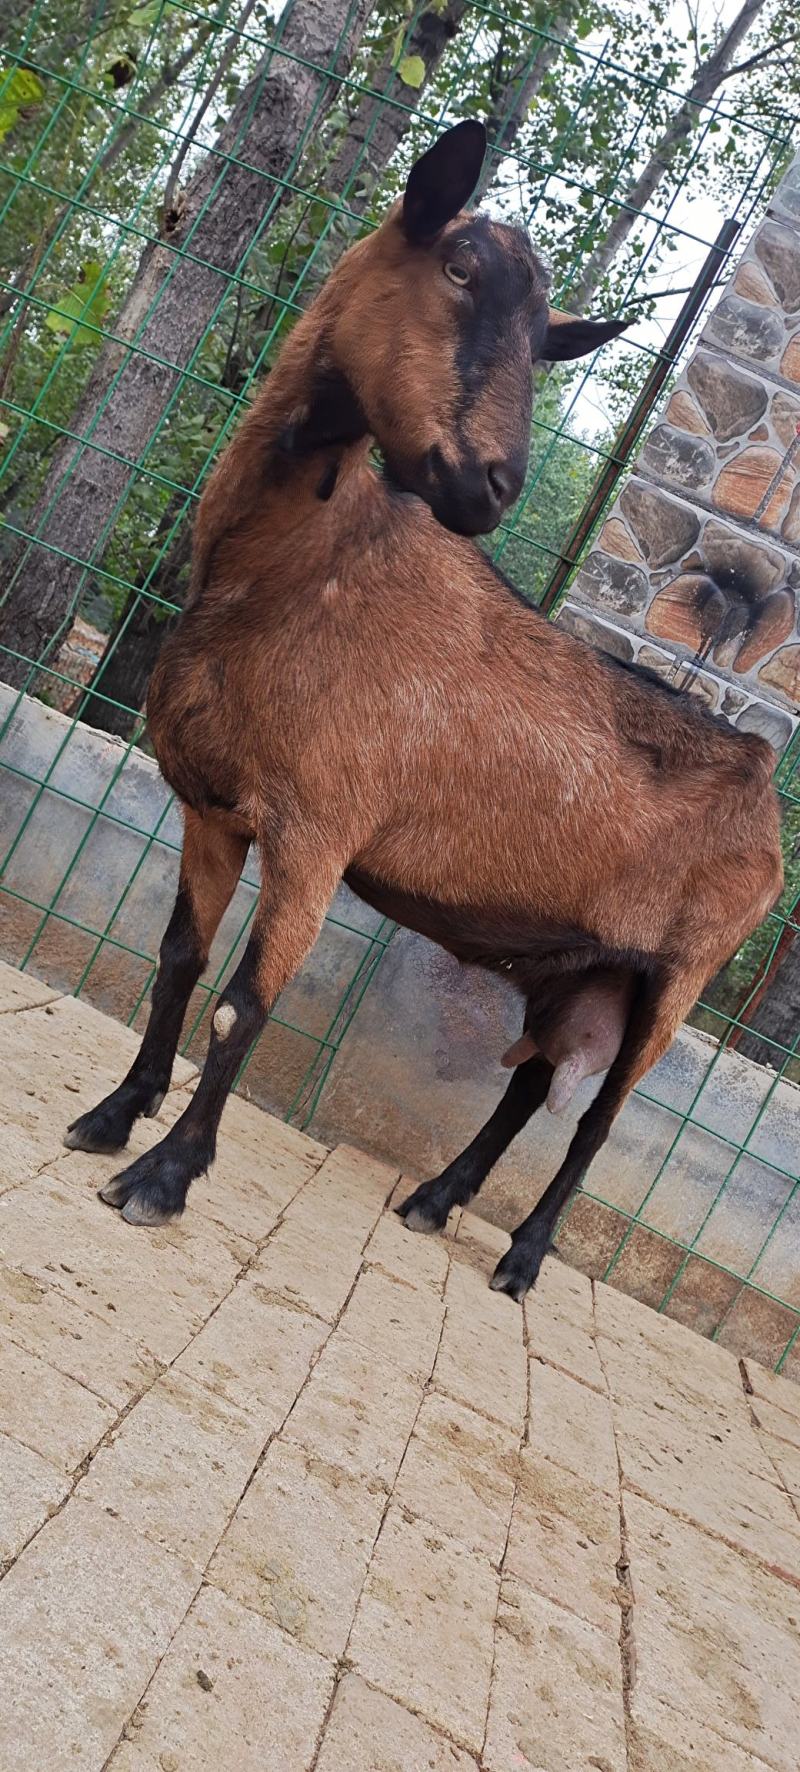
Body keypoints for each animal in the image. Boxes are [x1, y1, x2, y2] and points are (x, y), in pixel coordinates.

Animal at [64, 120, 783, 1301]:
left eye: (545, 340)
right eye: (457, 268)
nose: (492, 484)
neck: (298, 565)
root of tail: (765, 786)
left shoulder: (316, 831)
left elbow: (242, 1005)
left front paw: (165, 1176)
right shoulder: (212, 806)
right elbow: (177, 965)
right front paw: (114, 1116)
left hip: (677, 979)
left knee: (594, 1123)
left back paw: (523, 1258)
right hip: (580, 965)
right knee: (530, 1086)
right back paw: (435, 1199)